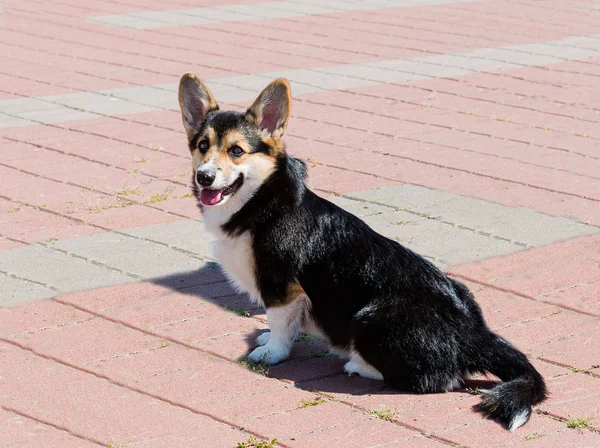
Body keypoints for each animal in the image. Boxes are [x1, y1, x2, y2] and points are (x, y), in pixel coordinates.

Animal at [176, 73, 548, 430]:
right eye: (202, 146)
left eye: (237, 151)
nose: (204, 176)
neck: (261, 202)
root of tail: (473, 334)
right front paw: (268, 340)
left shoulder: (282, 288)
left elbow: (281, 325)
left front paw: (272, 353)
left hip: (369, 319)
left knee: (436, 379)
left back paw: (360, 365)